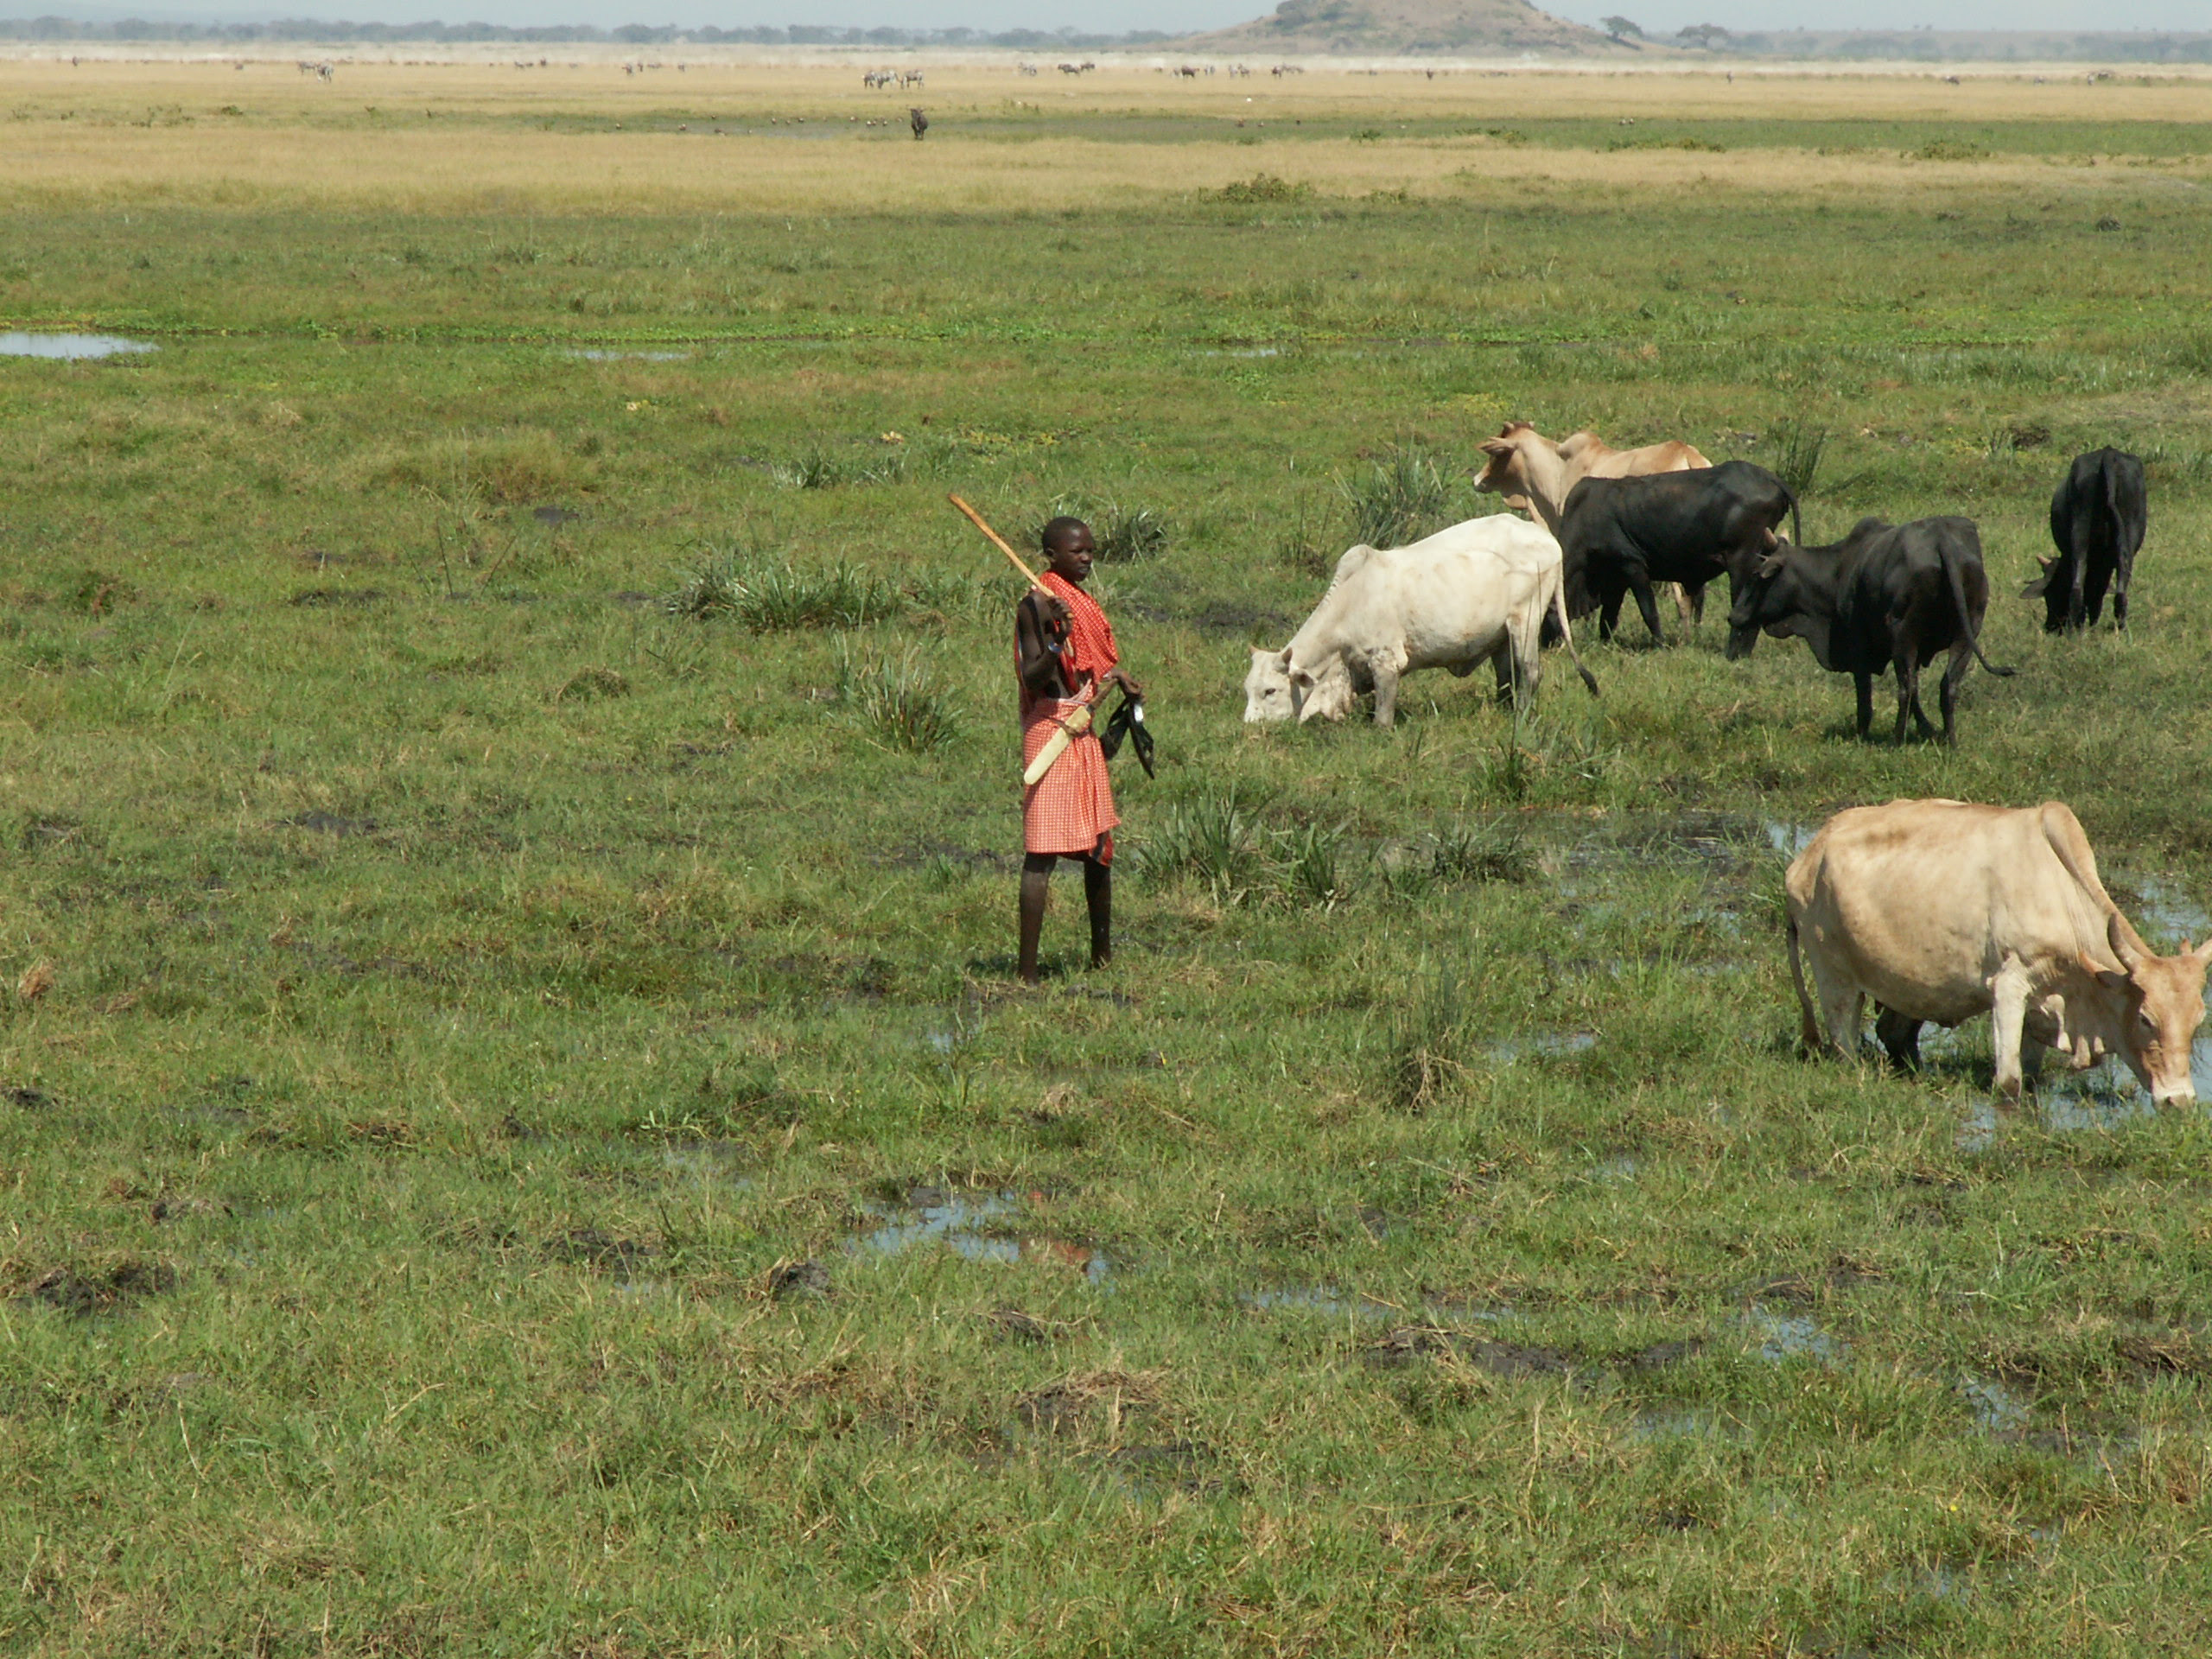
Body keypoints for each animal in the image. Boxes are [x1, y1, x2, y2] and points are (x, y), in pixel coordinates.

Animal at [1247, 519, 1592, 725]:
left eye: (1270, 691)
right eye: (1247, 689)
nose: (1249, 726)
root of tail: (1545, 537)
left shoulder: (1387, 661)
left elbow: (1384, 713)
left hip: (1525, 620)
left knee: (1530, 672)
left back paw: (1520, 716)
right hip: (1502, 635)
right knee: (1506, 673)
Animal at [1557, 471, 1796, 654]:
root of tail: (1766, 475)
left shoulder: (1633, 566)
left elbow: (1649, 612)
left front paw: (1660, 645)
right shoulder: (1616, 579)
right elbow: (1608, 618)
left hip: (1743, 565)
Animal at [1725, 519, 2025, 747]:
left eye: (1756, 575)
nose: (1733, 616)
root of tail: (1942, 540)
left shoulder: (1859, 647)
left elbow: (1866, 697)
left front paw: (1862, 734)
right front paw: (1928, 729)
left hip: (1903, 632)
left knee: (1906, 688)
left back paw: (1896, 741)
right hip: (1966, 633)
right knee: (1946, 685)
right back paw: (1951, 742)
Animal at [1778, 800, 2212, 1106]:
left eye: (2197, 1021)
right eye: (2145, 1019)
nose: (2180, 1101)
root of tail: (1810, 853)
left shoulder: (2044, 1000)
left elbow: (2032, 1076)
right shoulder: (2009, 987)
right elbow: (2009, 1083)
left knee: (1895, 1031)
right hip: (1834, 978)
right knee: (1845, 1044)